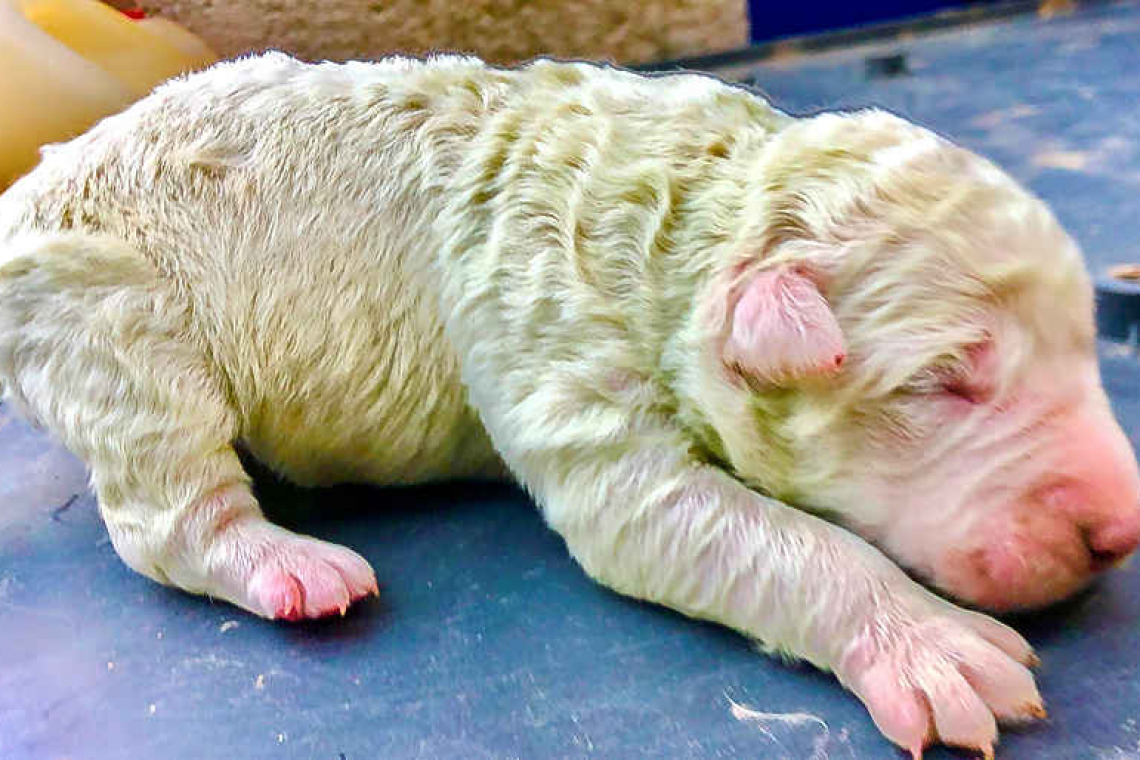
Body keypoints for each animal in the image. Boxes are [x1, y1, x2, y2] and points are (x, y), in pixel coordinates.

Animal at [2, 53, 1140, 756]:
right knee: (163, 506)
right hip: (114, 315)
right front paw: (936, 648)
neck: (693, 214)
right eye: (944, 380)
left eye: (1084, 344)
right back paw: (288, 565)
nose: (1120, 529)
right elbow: (744, 532)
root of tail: (25, 193)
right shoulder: (549, 326)